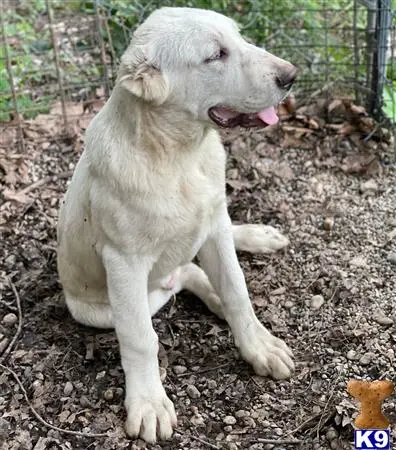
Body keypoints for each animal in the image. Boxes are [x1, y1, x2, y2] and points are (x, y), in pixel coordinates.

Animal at [57, 7, 296, 442]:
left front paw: (259, 345)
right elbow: (140, 338)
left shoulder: (214, 226)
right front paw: (149, 403)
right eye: (215, 55)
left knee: (198, 262)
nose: (291, 76)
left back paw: (255, 238)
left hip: (210, 225)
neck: (178, 155)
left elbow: (237, 290)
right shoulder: (124, 263)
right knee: (182, 276)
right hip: (102, 307)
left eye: (239, 38)